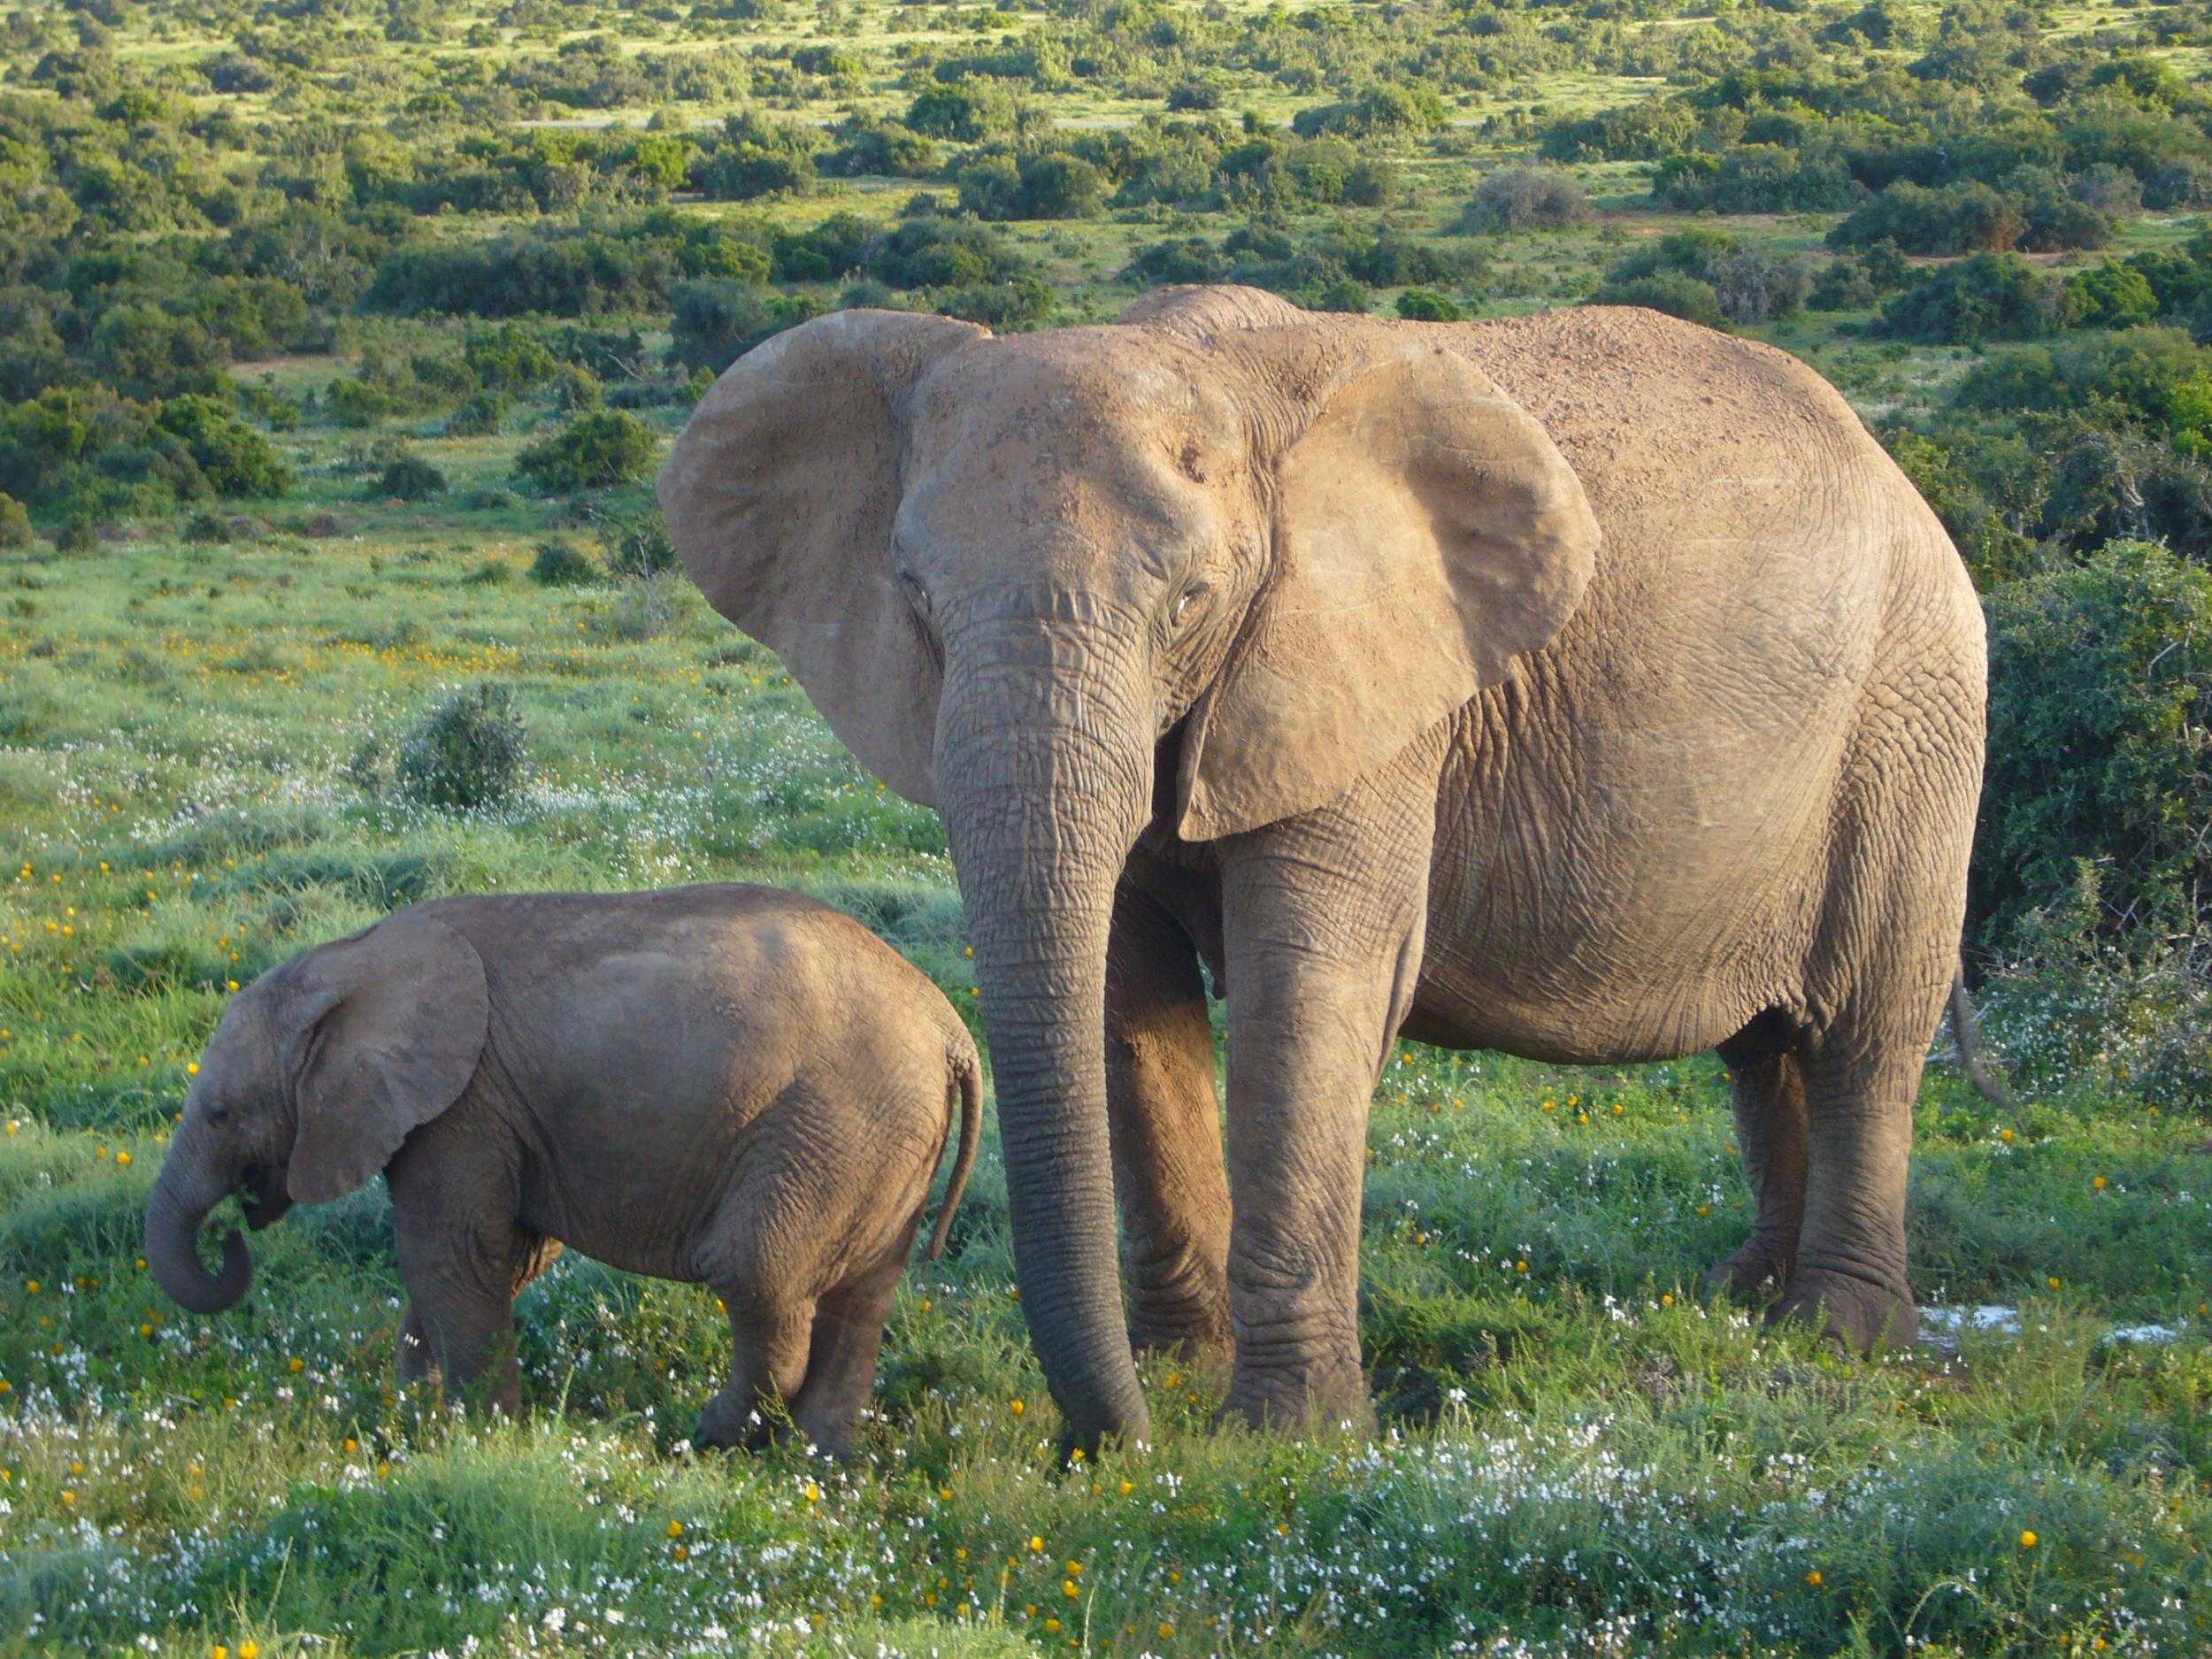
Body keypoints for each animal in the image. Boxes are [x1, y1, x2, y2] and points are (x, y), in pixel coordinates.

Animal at [151, 885, 982, 1451]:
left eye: (219, 1112)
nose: (233, 1232)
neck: (350, 958)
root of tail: (949, 1026)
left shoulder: (461, 1106)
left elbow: (449, 1253)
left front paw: (480, 1436)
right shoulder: (493, 1114)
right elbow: (503, 1257)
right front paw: (412, 1411)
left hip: (833, 1124)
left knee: (757, 1273)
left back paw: (701, 1436)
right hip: (886, 1139)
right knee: (862, 1295)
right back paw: (816, 1459)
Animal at [655, 289, 1991, 1451]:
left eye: (1191, 600)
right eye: (916, 599)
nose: (1115, 1443)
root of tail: (1894, 470)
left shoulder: (1368, 682)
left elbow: (1311, 990)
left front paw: (1281, 1434)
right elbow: (1127, 1001)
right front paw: (1183, 1372)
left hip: (1916, 709)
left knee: (1868, 1025)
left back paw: (1839, 1333)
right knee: (1766, 1045)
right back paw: (1745, 1299)